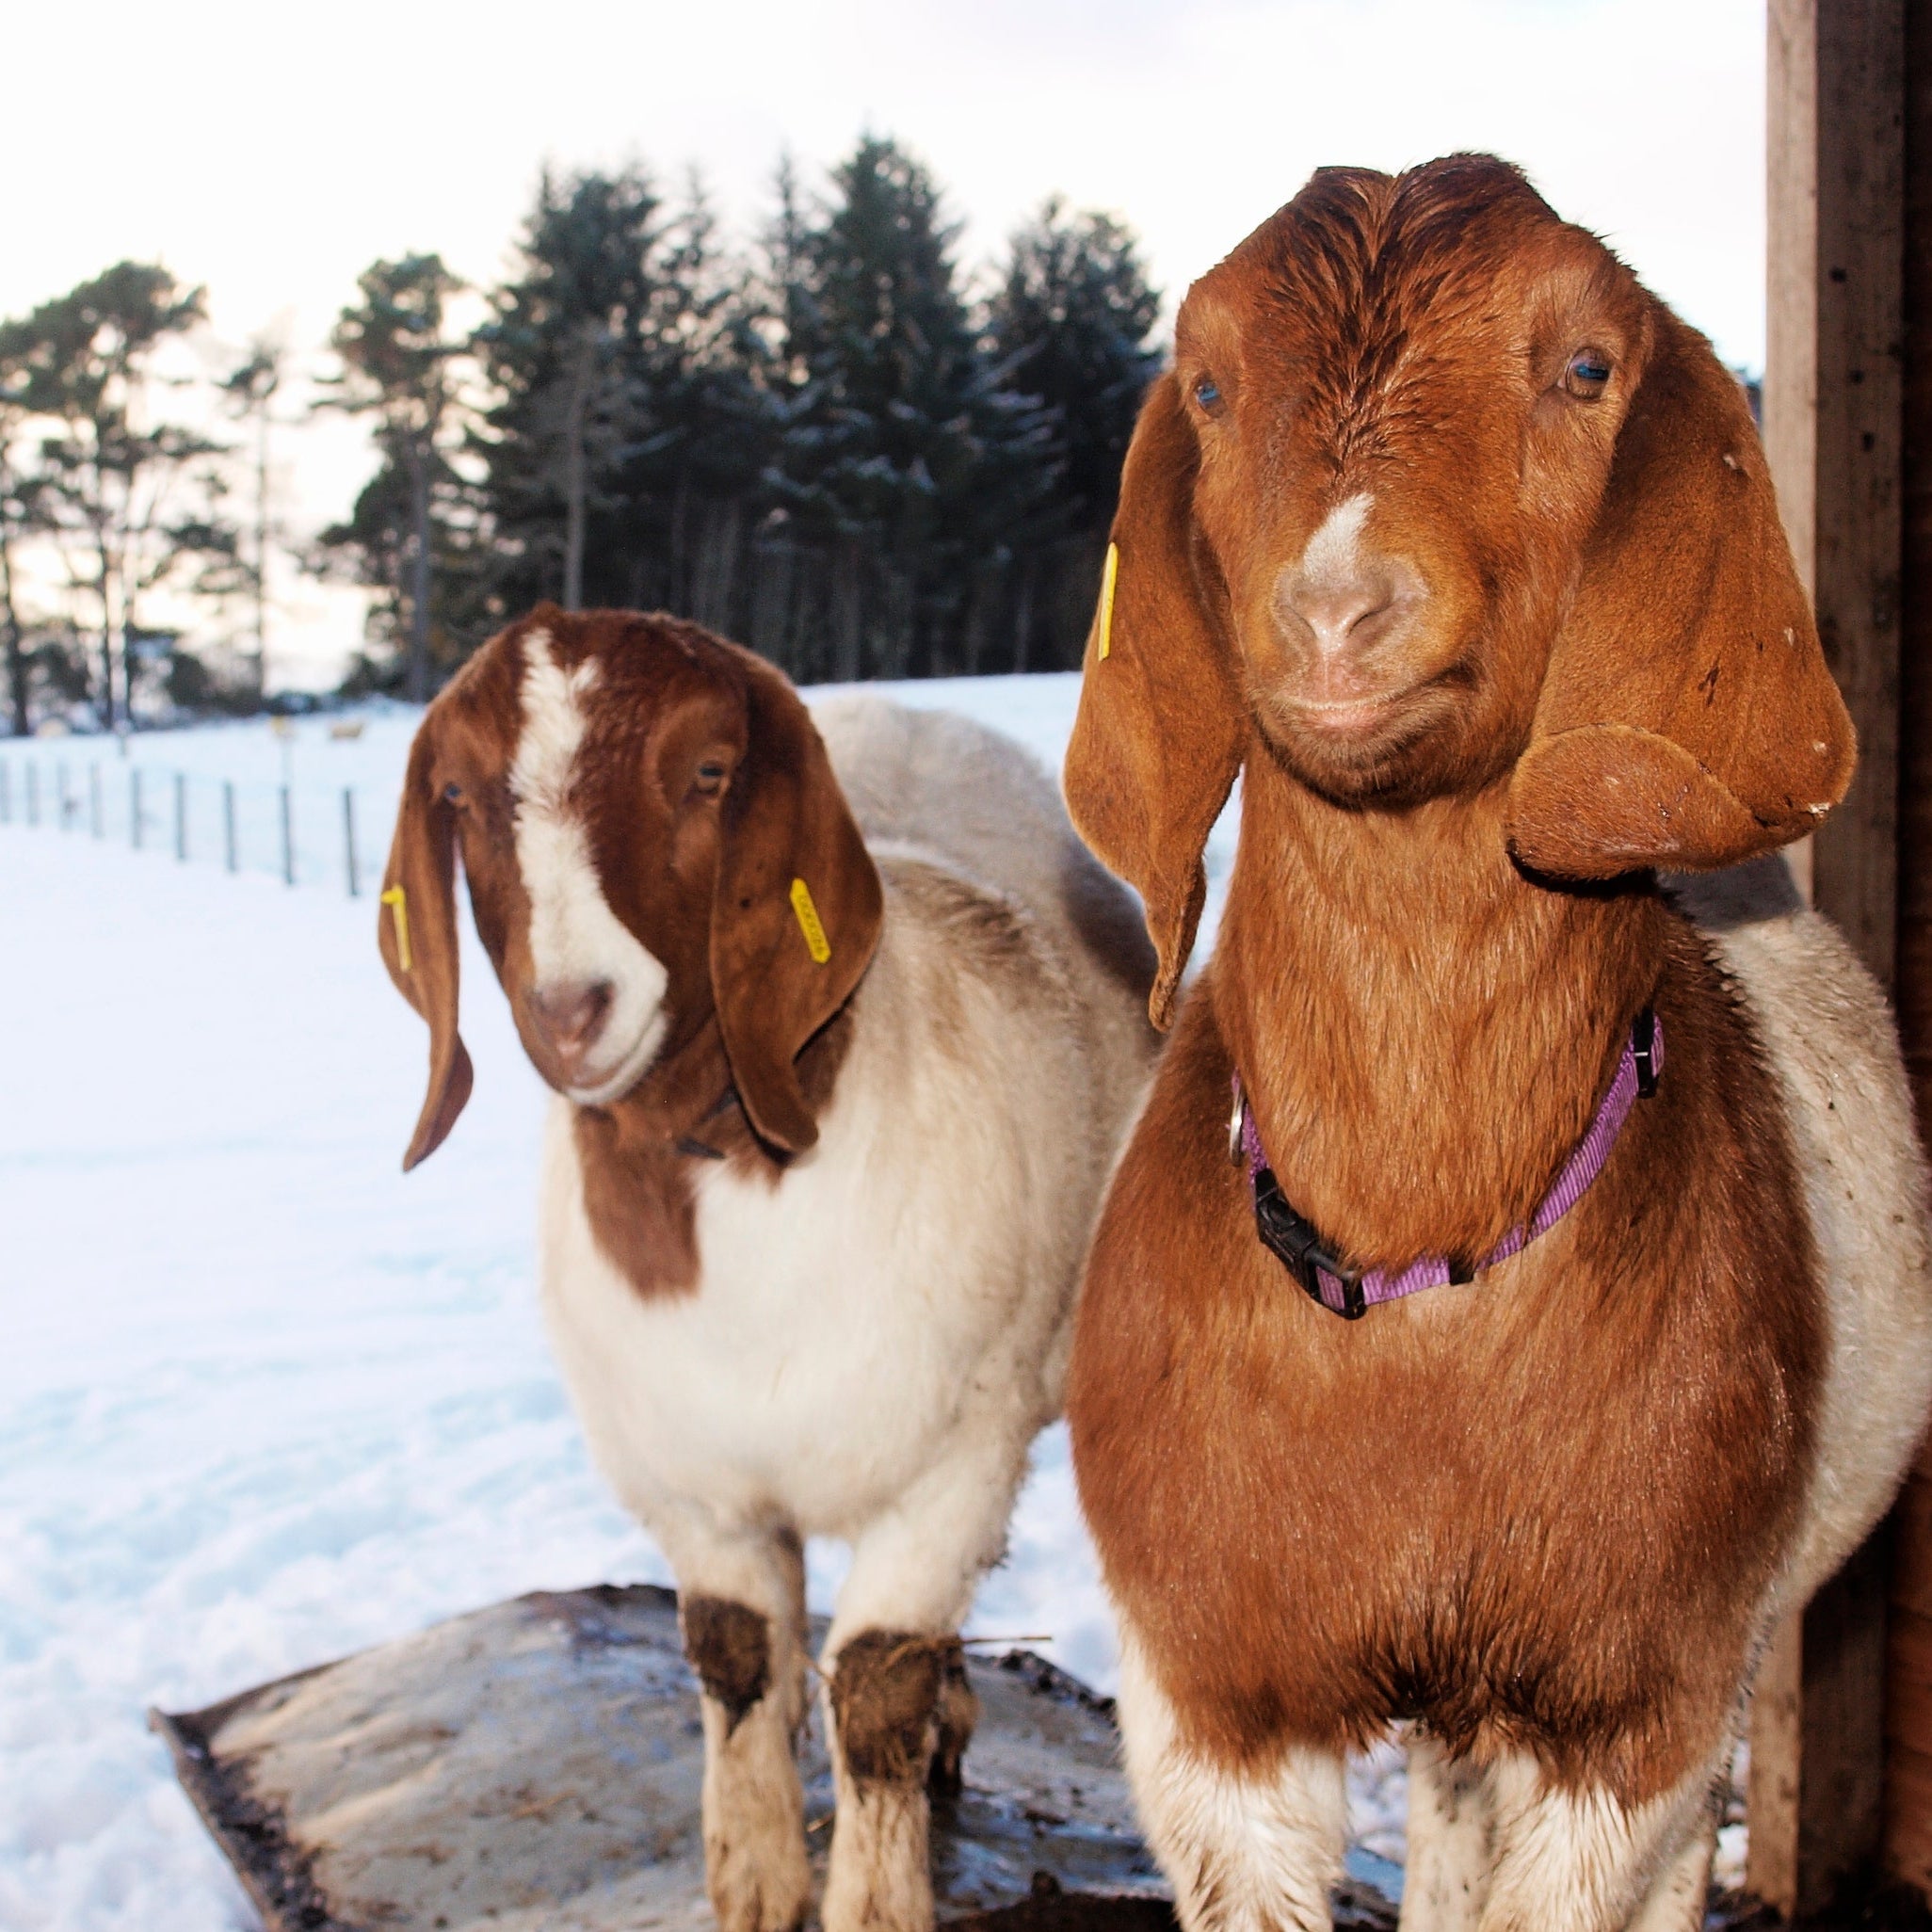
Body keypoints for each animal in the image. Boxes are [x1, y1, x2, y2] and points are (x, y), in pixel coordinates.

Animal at [378, 606, 1157, 1932]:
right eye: (462, 794)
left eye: (707, 771)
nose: (571, 1010)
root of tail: (907, 708)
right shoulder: (690, 1486)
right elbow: (739, 1655)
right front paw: (752, 1873)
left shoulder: (951, 1470)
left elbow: (881, 1684)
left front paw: (875, 1899)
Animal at [1059, 156, 1932, 1932]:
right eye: (1205, 382)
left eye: (1586, 367)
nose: (1338, 607)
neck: (1416, 1272)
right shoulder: (1210, 1700)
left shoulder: (1639, 1701)